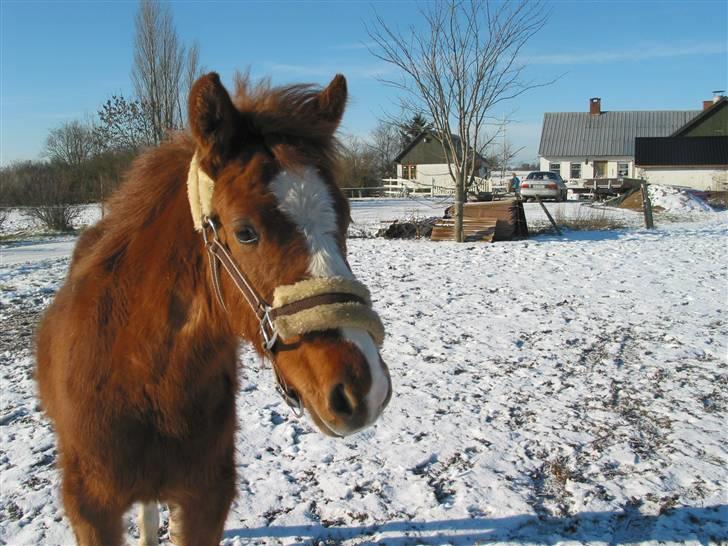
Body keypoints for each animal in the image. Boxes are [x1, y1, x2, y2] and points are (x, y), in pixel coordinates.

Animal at [35, 73, 392, 544]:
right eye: (245, 232)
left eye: (346, 218)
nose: (363, 389)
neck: (141, 378)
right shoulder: (92, 511)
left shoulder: (205, 499)